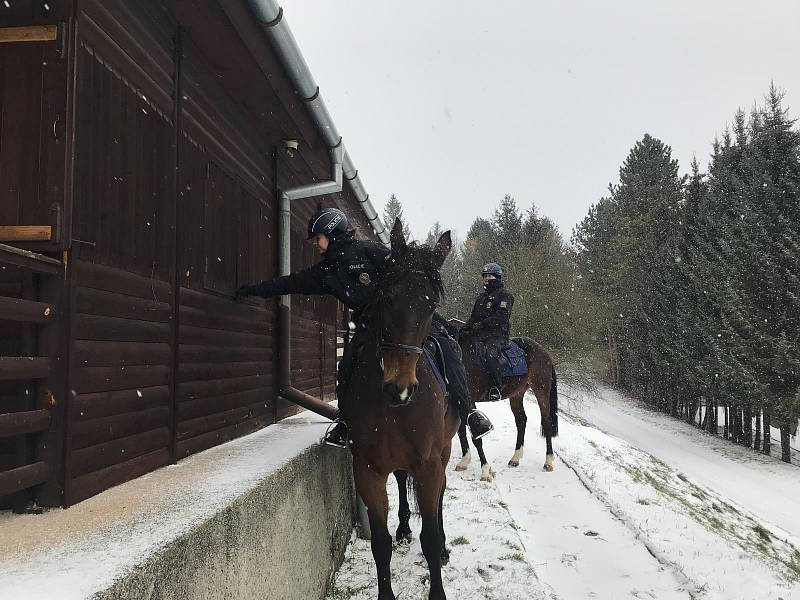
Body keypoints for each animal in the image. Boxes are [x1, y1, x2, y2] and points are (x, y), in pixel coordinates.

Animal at [346, 220, 460, 600]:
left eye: (430, 305)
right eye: (387, 296)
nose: (401, 388)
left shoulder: (428, 465)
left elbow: (431, 537)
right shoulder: (368, 469)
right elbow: (379, 544)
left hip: (444, 451)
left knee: (439, 497)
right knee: (400, 482)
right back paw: (405, 527)